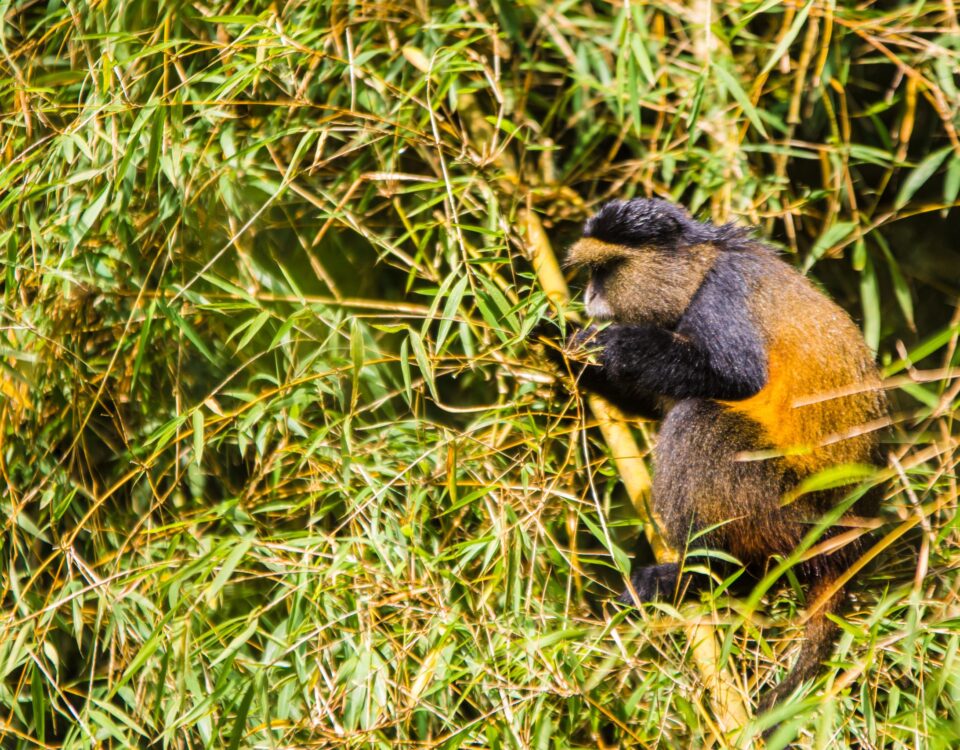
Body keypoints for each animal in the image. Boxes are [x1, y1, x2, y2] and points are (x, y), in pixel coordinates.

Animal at [541, 198, 887, 715]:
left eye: (605, 270)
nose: (588, 297)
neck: (701, 265)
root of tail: (847, 544)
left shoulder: (721, 295)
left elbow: (733, 377)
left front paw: (612, 342)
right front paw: (560, 347)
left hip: (784, 511)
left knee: (699, 420)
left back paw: (705, 572)